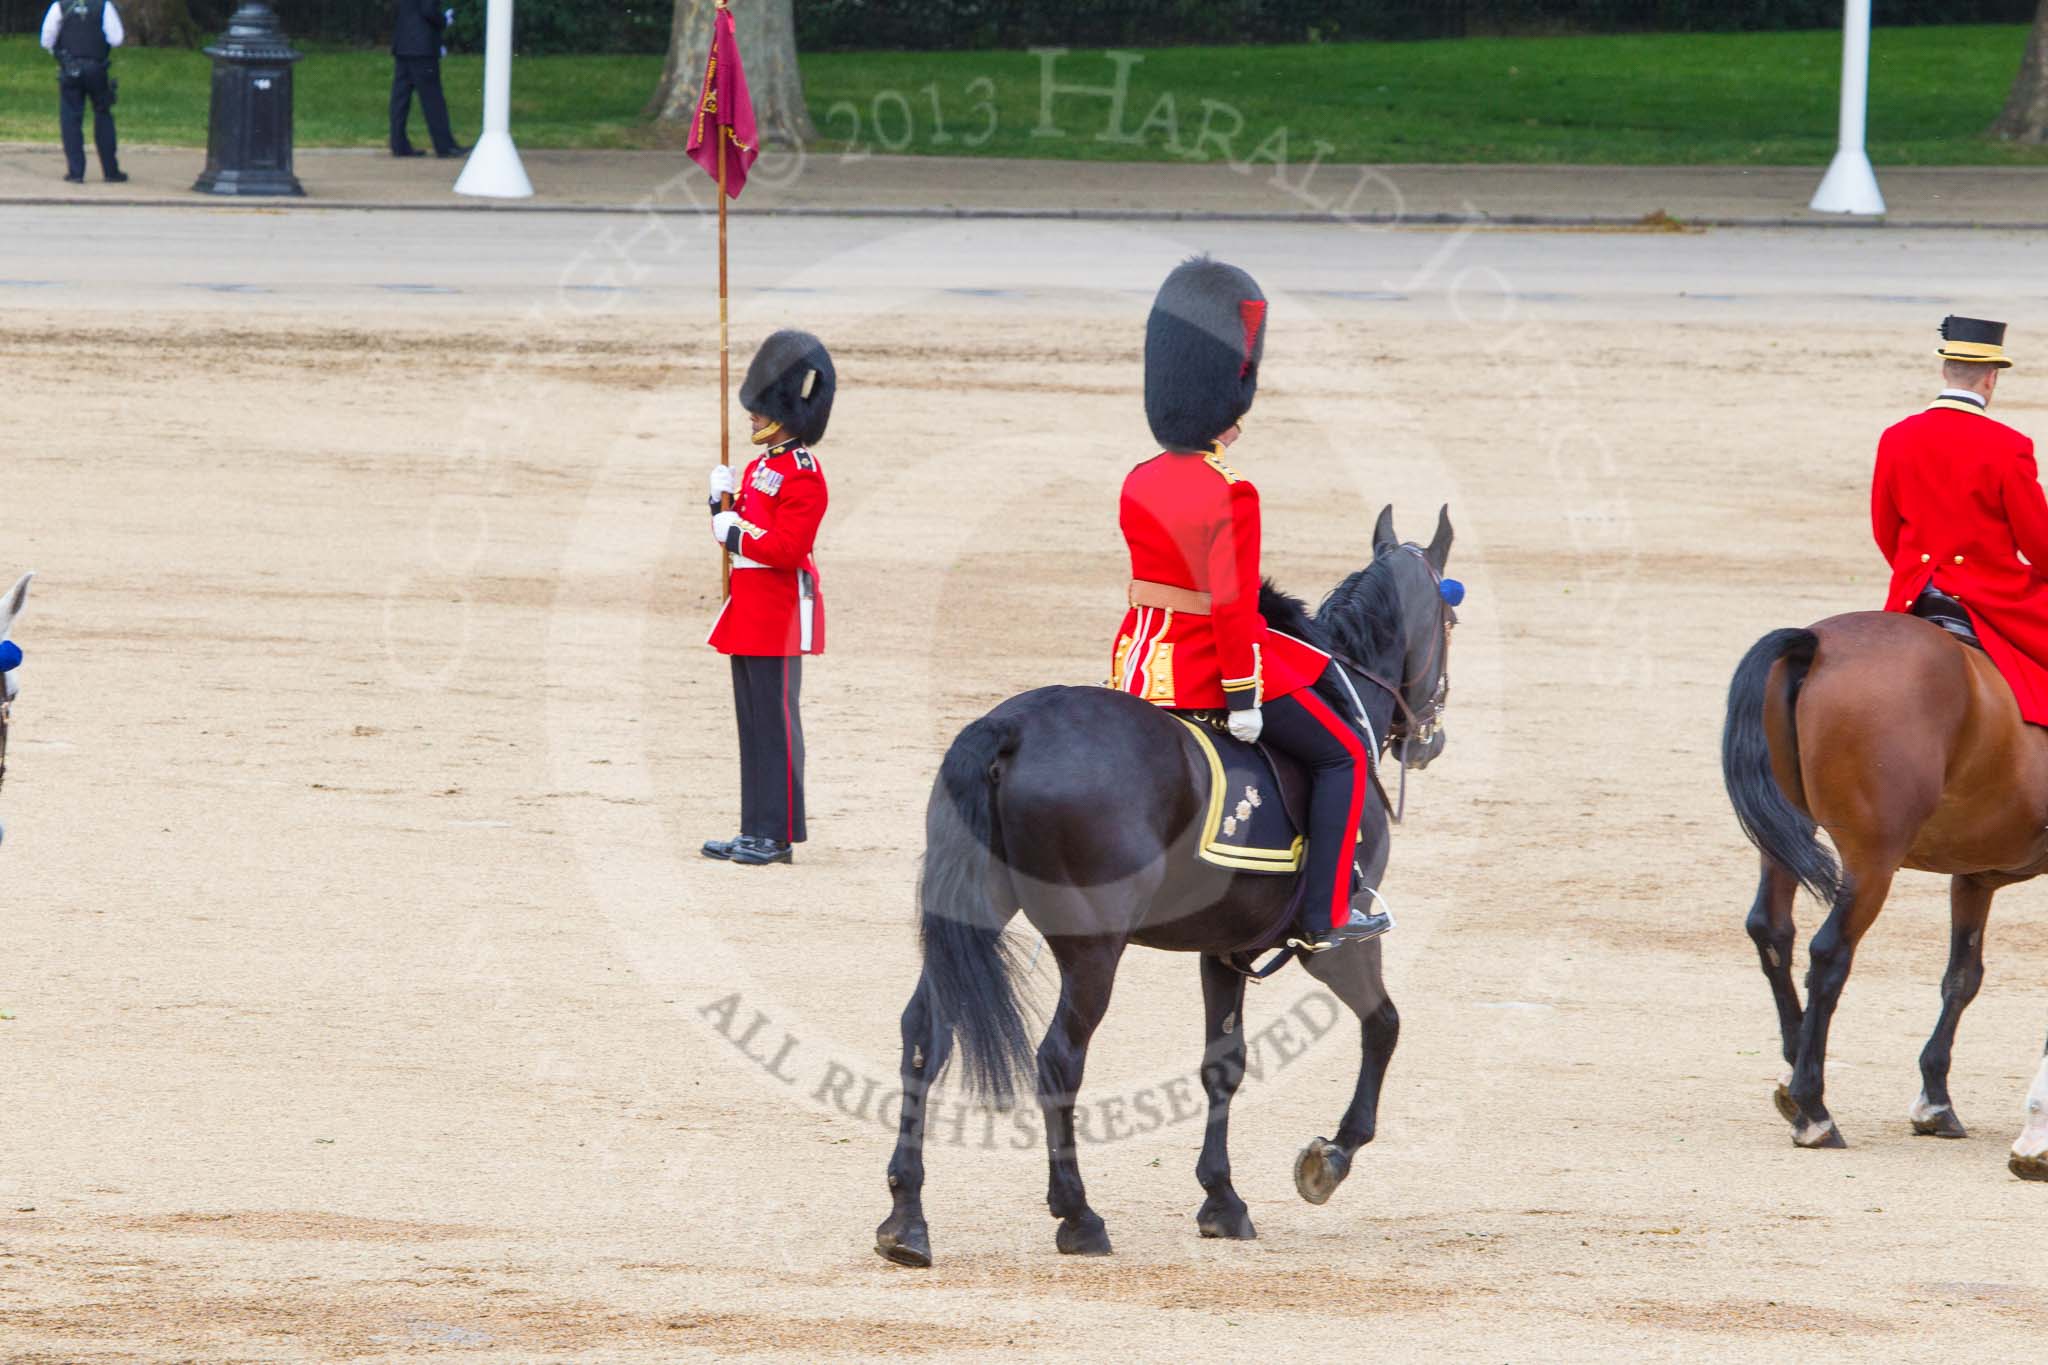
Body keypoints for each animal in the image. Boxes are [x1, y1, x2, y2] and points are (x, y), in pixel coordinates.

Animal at [876, 507, 1458, 1268]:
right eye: (1450, 616)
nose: (1430, 738)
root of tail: (1006, 727)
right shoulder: (1331, 939)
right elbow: (1384, 1024)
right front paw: (1330, 1157)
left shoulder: (1227, 947)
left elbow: (1224, 1063)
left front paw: (1222, 1199)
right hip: (1094, 948)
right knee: (1058, 1058)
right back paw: (1078, 1214)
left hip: (975, 917)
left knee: (925, 1033)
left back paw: (906, 1219)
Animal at [1720, 609, 2039, 1178]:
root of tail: (1818, 641)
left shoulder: (1974, 877)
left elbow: (1962, 978)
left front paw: (1936, 1099)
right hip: (1873, 860)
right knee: (1829, 954)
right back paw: (1814, 1110)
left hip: (1786, 836)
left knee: (1771, 931)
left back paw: (1793, 1073)